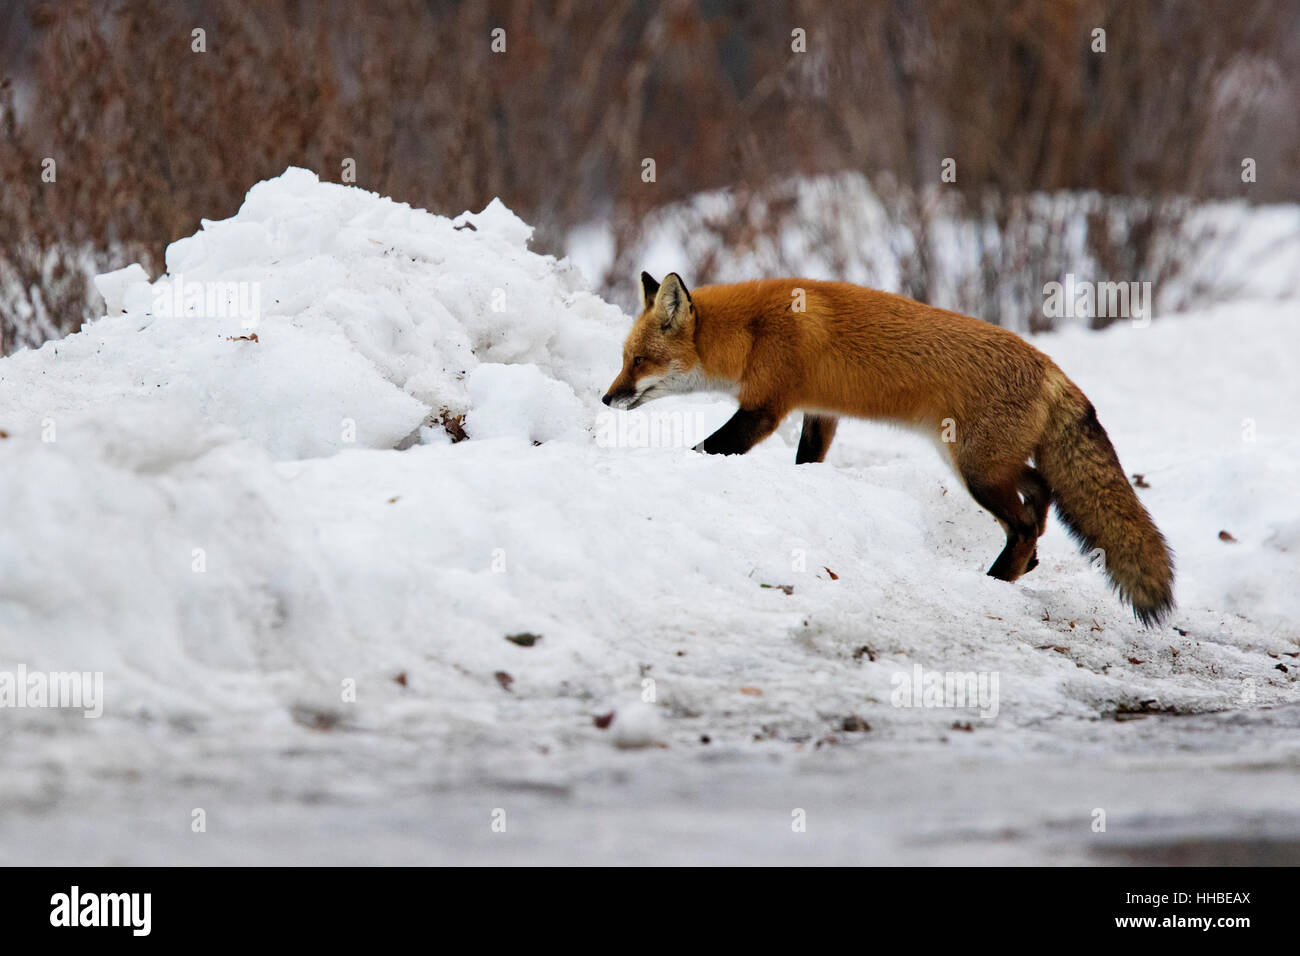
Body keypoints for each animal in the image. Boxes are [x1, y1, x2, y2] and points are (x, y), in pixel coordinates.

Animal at [603, 273, 1175, 624]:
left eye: (639, 360)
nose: (607, 398)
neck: (752, 330)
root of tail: (1052, 368)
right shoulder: (820, 412)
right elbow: (808, 460)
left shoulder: (764, 408)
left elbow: (707, 448)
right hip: (988, 465)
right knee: (1041, 491)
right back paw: (1025, 565)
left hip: (976, 471)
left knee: (1025, 522)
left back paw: (998, 579)